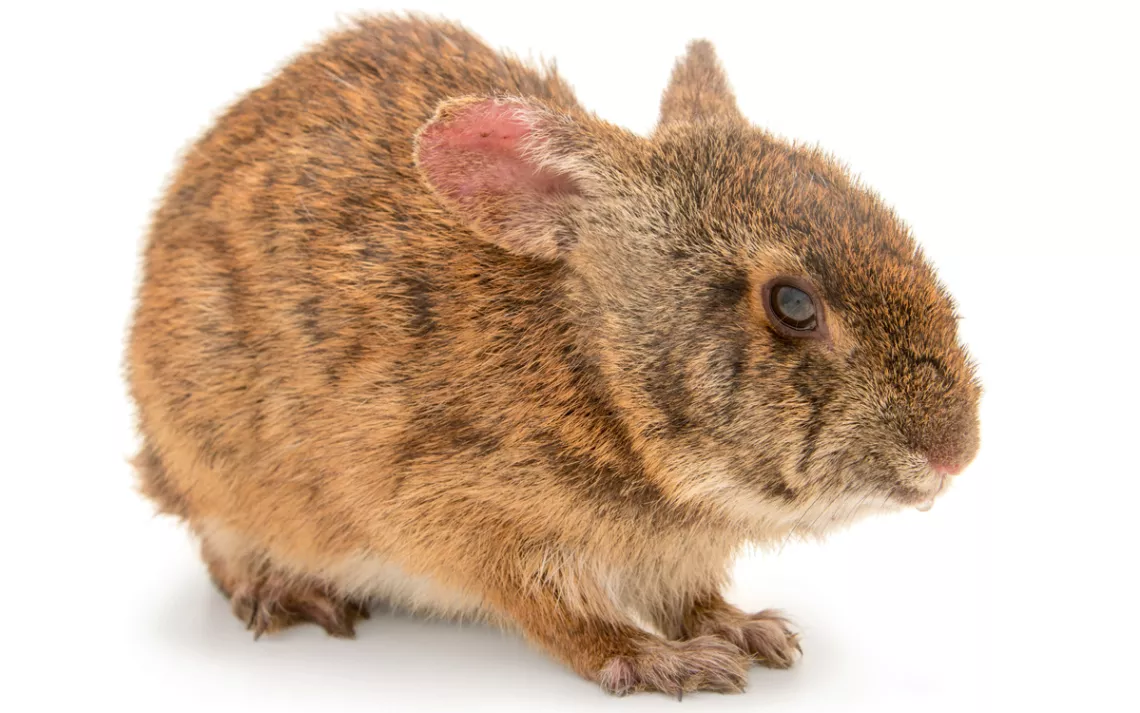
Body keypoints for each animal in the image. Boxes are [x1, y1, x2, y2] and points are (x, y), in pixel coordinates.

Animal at [126, 15, 980, 696]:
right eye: (792, 305)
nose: (956, 453)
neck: (597, 373)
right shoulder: (473, 517)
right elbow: (564, 615)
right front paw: (660, 660)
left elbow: (692, 598)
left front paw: (742, 627)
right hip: (213, 471)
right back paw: (283, 595)